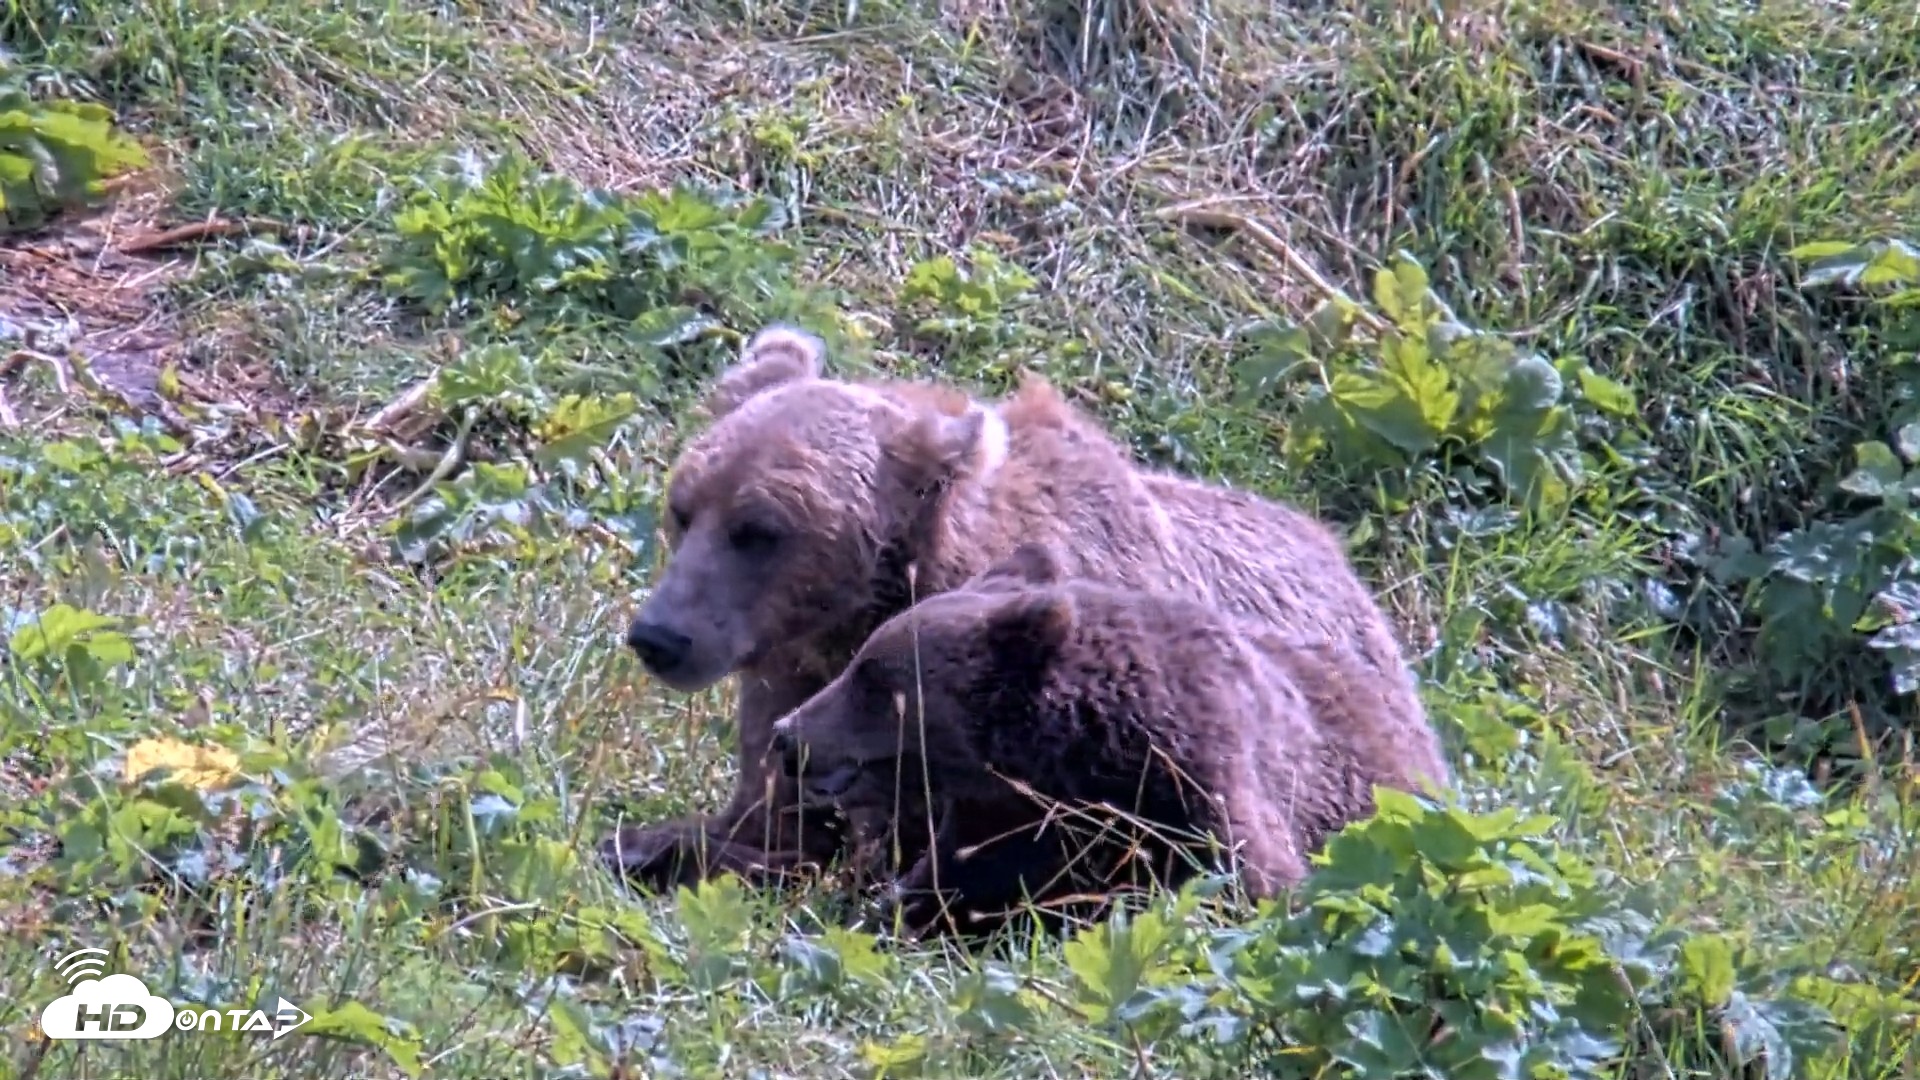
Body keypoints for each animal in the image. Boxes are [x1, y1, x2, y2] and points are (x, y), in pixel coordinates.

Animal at [602, 323, 1439, 891]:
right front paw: (652, 840)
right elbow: (768, 809)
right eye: (683, 508)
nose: (661, 636)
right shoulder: (794, 686)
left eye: (759, 529)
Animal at [766, 541, 1448, 941]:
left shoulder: (1200, 790)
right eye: (863, 662)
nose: (786, 735)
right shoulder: (1001, 824)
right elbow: (936, 892)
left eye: (872, 677)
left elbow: (1251, 889)